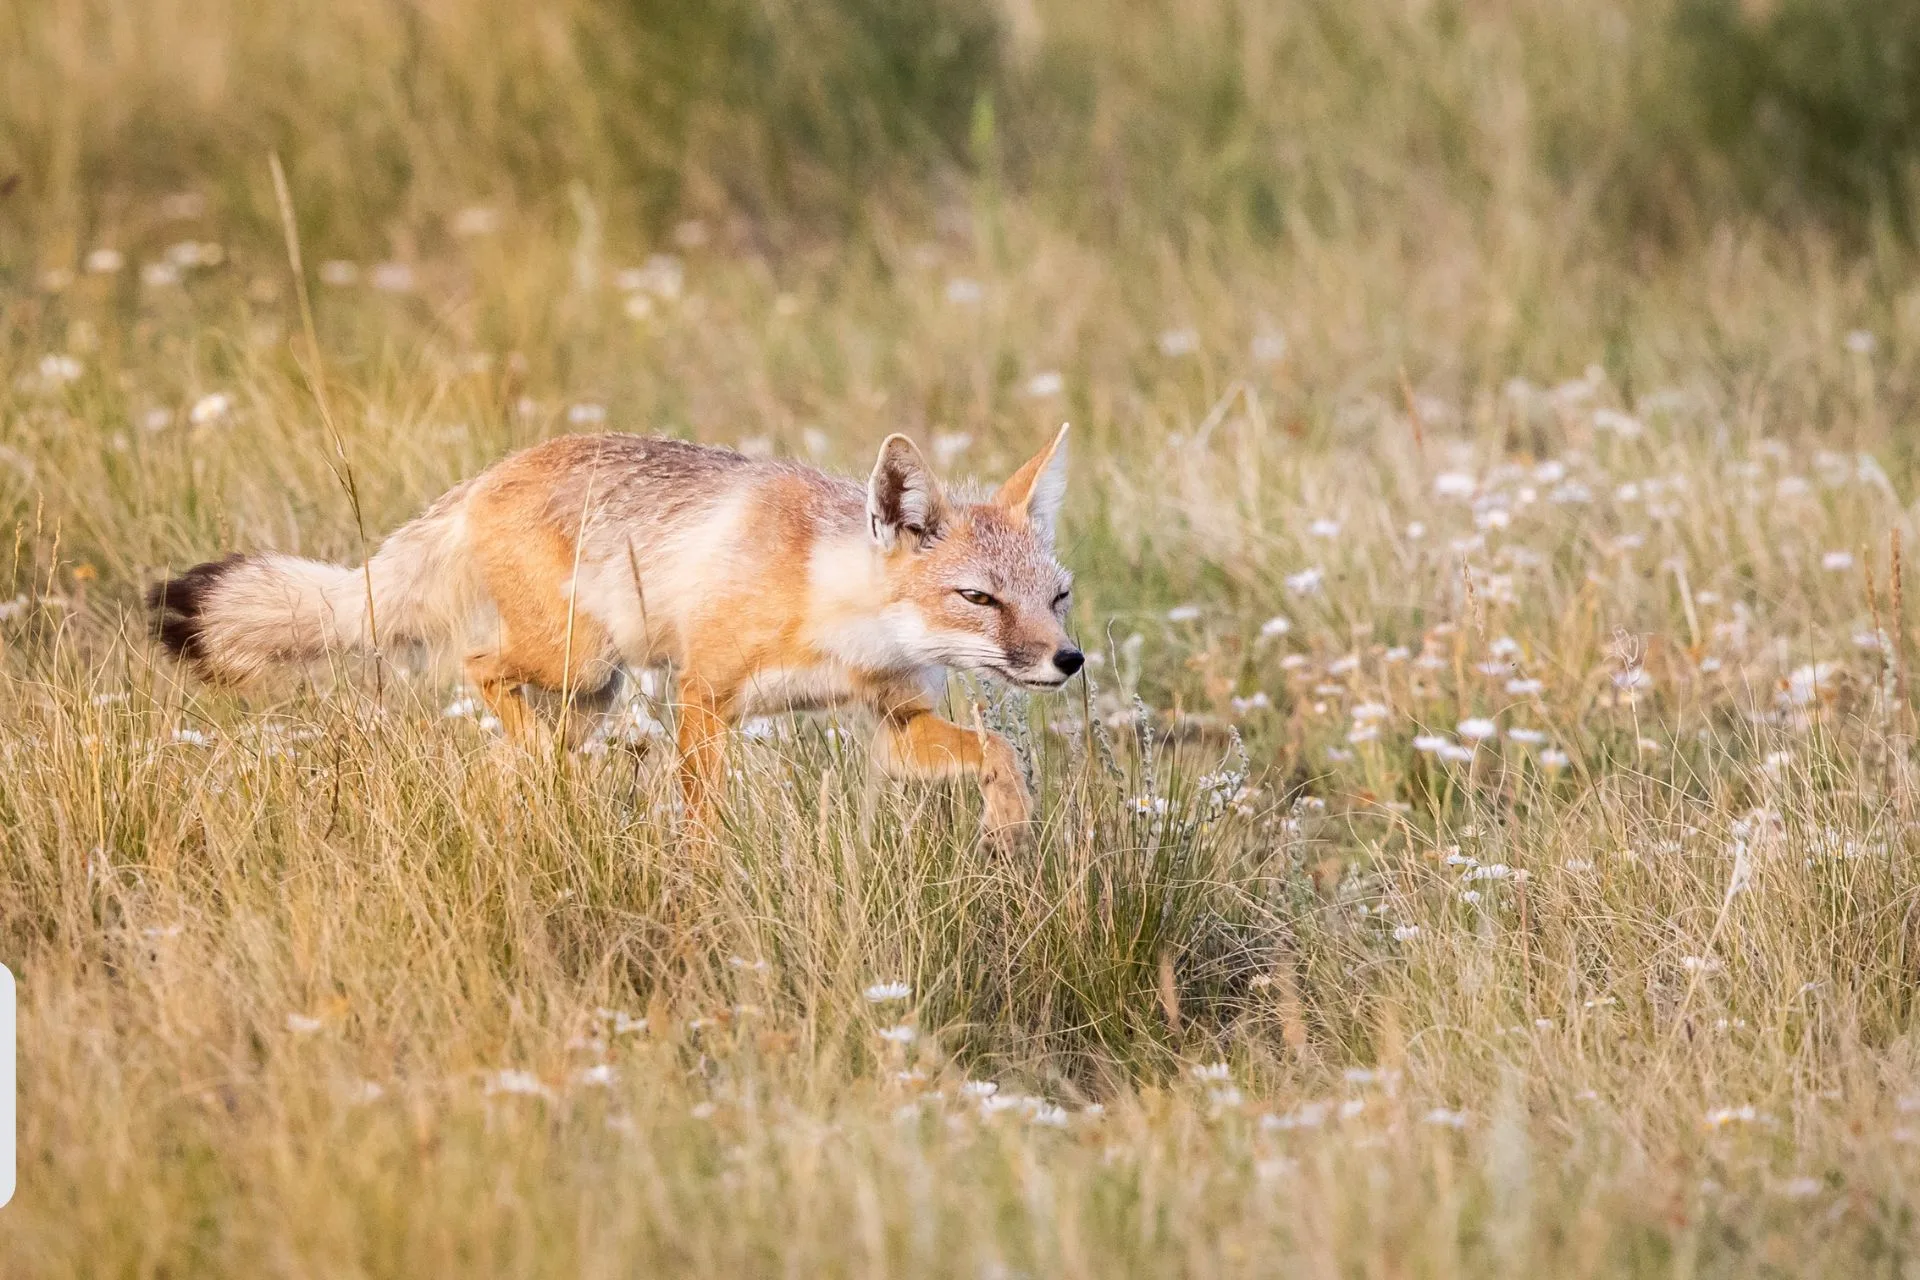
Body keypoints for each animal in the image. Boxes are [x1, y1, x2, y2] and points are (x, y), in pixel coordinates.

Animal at [147, 425, 1083, 843]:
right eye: (978, 597)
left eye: (1058, 597)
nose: (1068, 661)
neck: (833, 609)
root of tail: (483, 477)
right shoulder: (704, 697)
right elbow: (702, 818)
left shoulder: (894, 724)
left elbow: (1001, 753)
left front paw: (1008, 821)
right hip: (580, 664)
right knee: (477, 668)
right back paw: (546, 770)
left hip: (590, 693)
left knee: (498, 754)